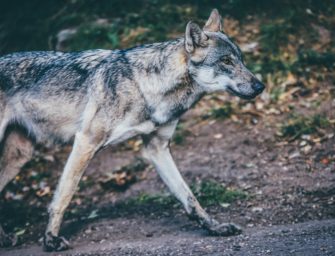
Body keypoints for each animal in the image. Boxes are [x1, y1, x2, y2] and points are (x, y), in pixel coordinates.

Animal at [0, 9, 266, 251]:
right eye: (226, 61)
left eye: (241, 60)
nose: (260, 86)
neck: (145, 87)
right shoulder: (86, 141)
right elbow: (64, 196)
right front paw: (51, 240)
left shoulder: (157, 148)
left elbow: (189, 196)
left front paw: (215, 227)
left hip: (19, 156)